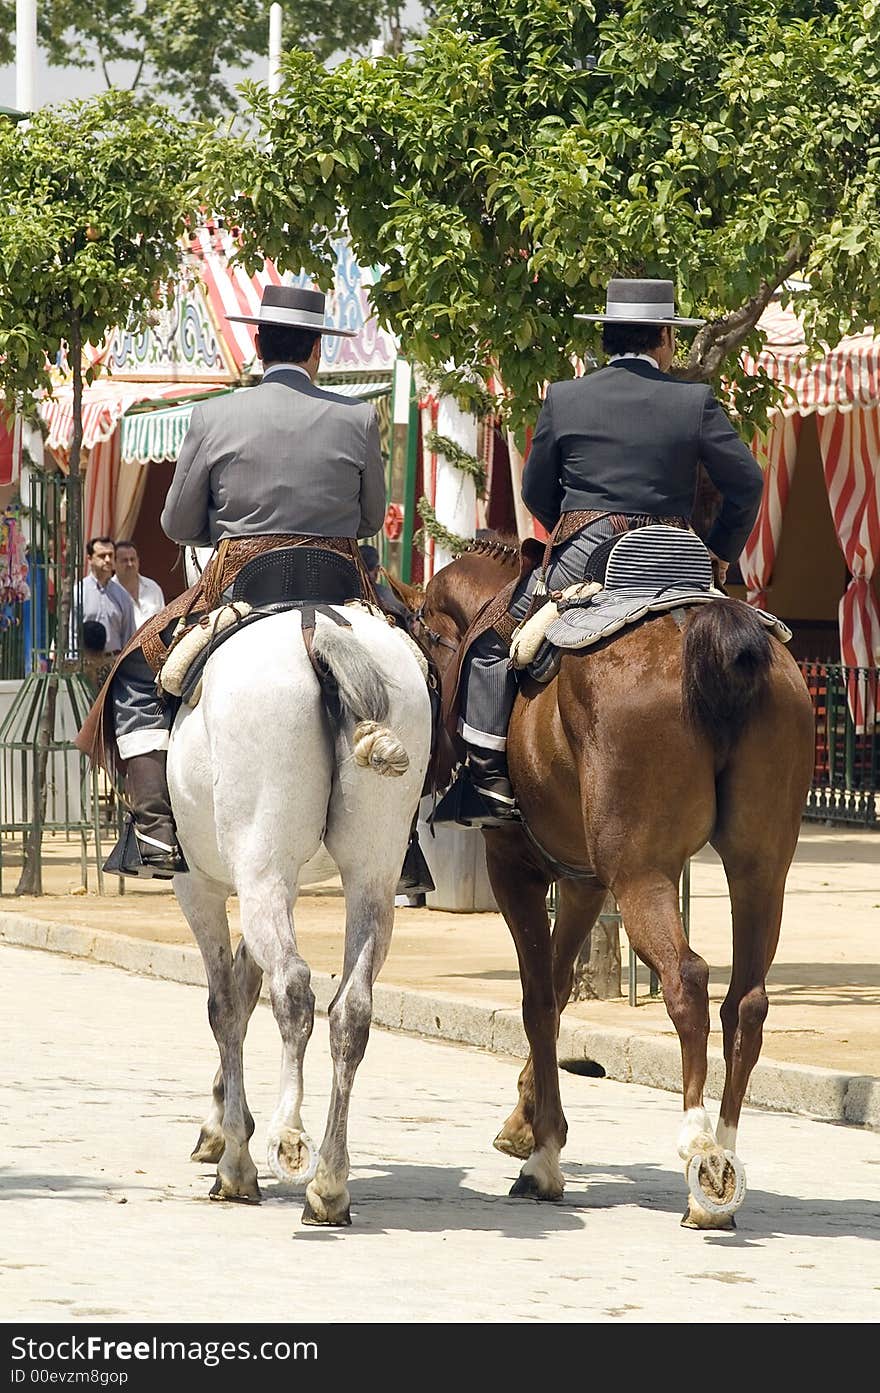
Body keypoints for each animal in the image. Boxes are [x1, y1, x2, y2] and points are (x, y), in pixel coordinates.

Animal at [167, 543, 428, 1220]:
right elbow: (241, 986)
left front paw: (232, 1154)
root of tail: (316, 627)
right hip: (371, 874)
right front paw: (223, 1126)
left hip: (260, 864)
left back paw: (287, 1137)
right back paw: (329, 1184)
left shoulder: (199, 884)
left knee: (292, 987)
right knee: (351, 1008)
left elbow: (224, 1003)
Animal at [409, 534, 813, 1231]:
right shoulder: (583, 884)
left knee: (686, 979)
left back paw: (700, 1154)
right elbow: (559, 988)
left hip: (642, 872)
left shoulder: (515, 868)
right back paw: (725, 1163)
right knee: (747, 1002)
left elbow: (538, 998)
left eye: (426, 636)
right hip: (761, 870)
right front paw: (527, 1122)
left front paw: (542, 1155)